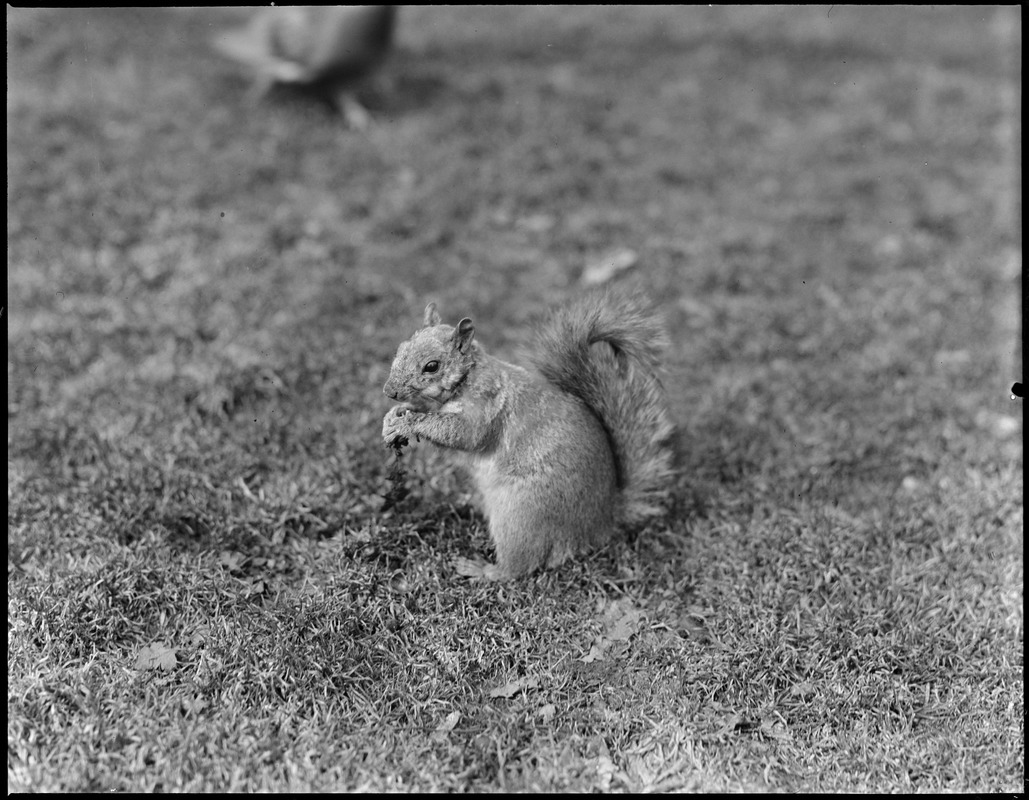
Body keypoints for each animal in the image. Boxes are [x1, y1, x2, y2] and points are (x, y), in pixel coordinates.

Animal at [382, 286, 679, 580]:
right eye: (401, 348)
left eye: (432, 366)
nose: (389, 392)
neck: (467, 378)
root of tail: (602, 519)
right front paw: (393, 418)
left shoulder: (485, 407)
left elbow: (463, 434)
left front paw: (408, 423)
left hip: (520, 515)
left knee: (518, 567)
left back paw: (481, 569)